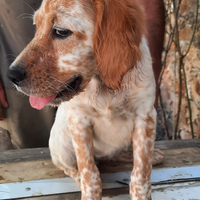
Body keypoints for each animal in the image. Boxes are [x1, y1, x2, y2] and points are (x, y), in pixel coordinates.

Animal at [7, 0, 164, 199]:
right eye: (37, 26)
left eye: (61, 31)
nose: (11, 75)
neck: (105, 86)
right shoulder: (79, 121)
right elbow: (90, 174)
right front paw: (88, 189)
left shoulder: (145, 116)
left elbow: (140, 174)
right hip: (61, 145)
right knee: (69, 167)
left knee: (117, 153)